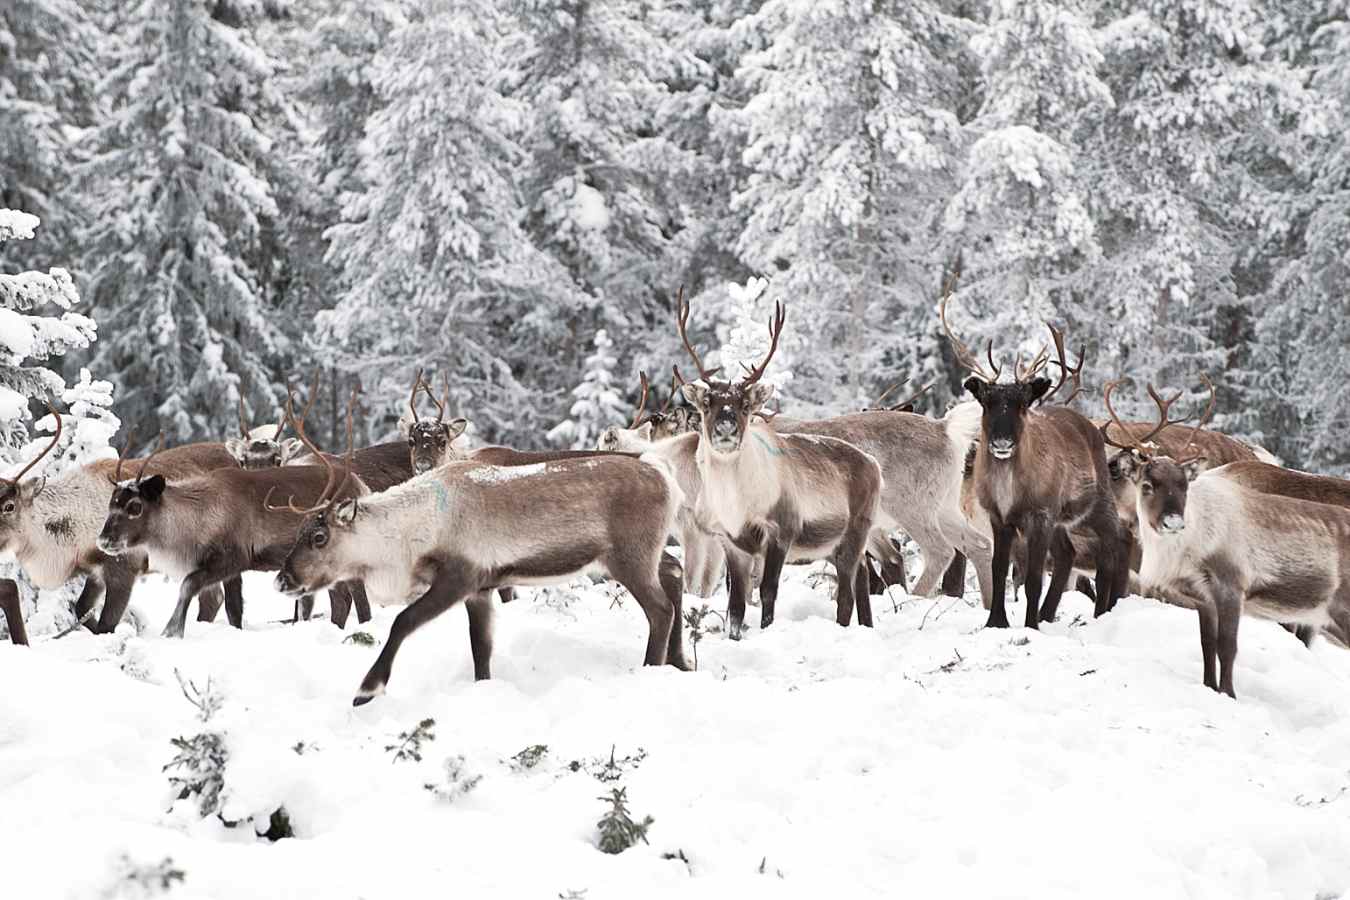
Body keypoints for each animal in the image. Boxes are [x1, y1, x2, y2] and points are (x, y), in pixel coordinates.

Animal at [96, 395, 371, 638]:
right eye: (112, 503)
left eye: (135, 507)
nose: (104, 541)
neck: (199, 515)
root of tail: (361, 485)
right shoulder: (232, 570)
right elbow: (233, 610)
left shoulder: (232, 558)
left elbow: (188, 585)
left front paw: (172, 631)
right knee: (341, 599)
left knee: (358, 598)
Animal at [272, 412, 690, 704]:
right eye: (300, 532)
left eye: (320, 537)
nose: (282, 579)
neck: (411, 531)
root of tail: (664, 474)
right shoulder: (482, 590)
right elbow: (481, 649)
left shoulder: (460, 577)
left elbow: (403, 622)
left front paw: (367, 690)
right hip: (646, 554)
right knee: (672, 577)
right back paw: (680, 662)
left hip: (630, 556)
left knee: (660, 608)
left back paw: (651, 668)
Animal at [943, 299, 1125, 628]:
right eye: (986, 401)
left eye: (1023, 402)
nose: (1002, 442)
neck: (1010, 490)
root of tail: (1091, 426)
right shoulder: (999, 518)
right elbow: (999, 571)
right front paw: (996, 622)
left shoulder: (1040, 515)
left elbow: (1032, 579)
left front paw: (1030, 625)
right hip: (1061, 521)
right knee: (1067, 553)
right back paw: (1048, 613)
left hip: (1096, 502)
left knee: (1111, 545)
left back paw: (1100, 612)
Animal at [1103, 384, 1350, 698]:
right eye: (1146, 484)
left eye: (1117, 467)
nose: (1108, 465)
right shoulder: (1205, 598)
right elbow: (1209, 644)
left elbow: (1228, 647)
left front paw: (1228, 694)